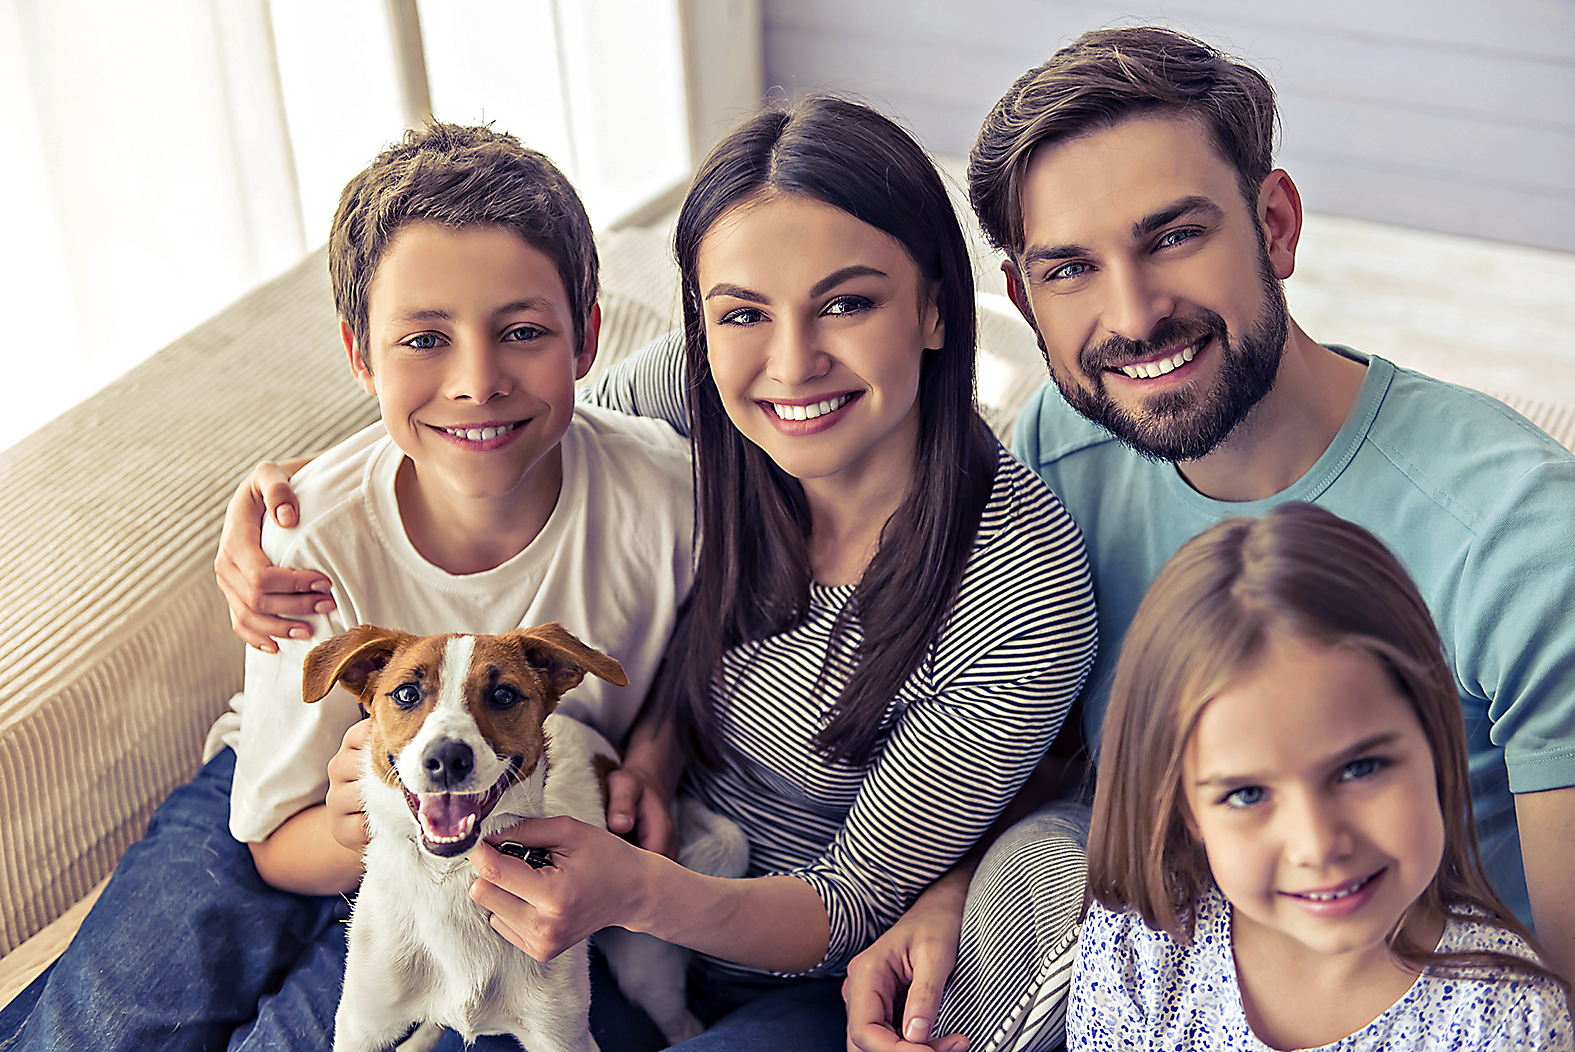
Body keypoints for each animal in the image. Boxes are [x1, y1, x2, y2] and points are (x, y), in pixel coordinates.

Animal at [305, 623, 749, 1052]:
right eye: (407, 694)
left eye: (503, 695)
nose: (447, 757)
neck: (452, 878)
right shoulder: (360, 1027)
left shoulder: (561, 1035)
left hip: (645, 969)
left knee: (681, 1020)